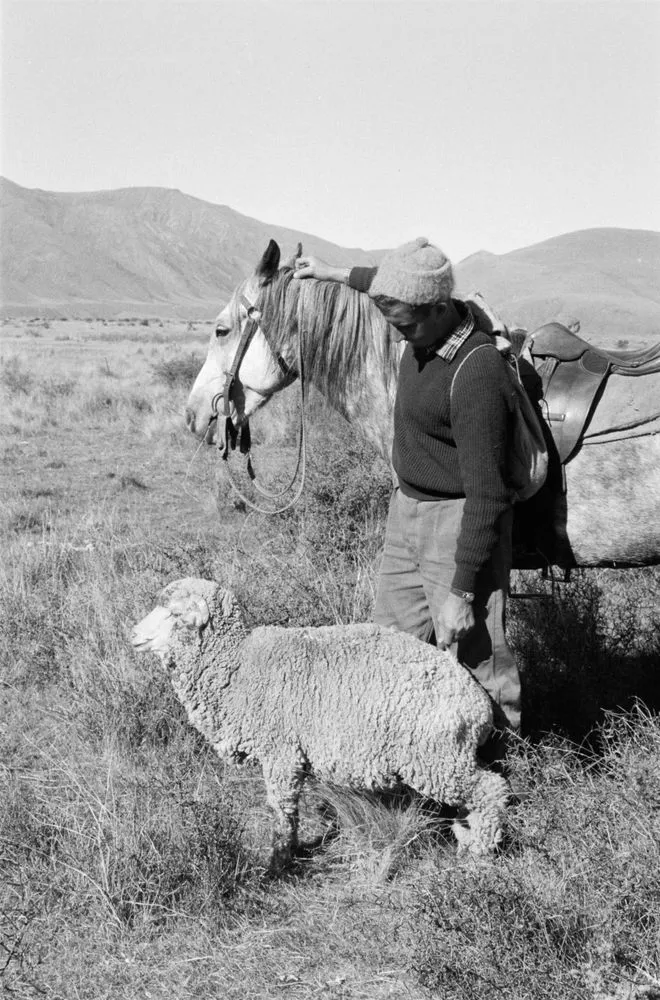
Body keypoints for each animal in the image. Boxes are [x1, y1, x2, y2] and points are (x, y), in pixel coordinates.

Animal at [131, 577, 510, 867]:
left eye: (173, 613)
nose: (132, 634)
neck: (238, 664)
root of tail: (478, 706)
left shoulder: (281, 754)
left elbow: (283, 811)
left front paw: (279, 860)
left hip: (436, 758)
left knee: (490, 789)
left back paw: (481, 850)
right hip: (447, 758)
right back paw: (467, 838)